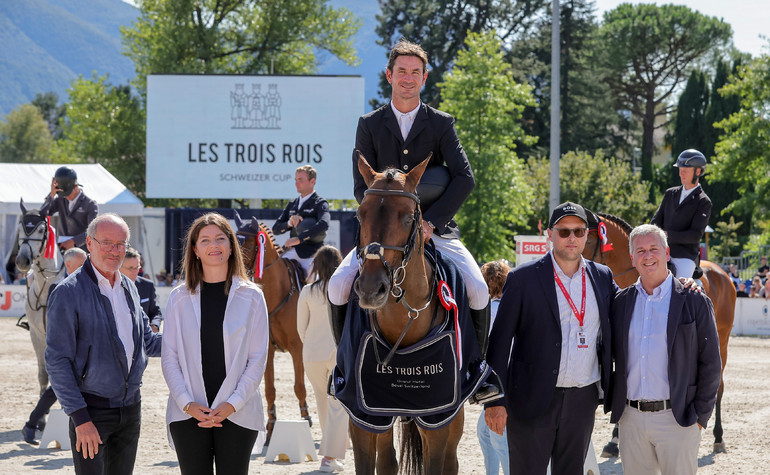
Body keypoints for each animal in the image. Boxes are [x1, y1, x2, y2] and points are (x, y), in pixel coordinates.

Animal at [231, 214, 312, 444]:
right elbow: (269, 389)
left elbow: (299, 386)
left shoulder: (297, 348)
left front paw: (306, 419)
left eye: (248, 244)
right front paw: (270, 427)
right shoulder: (266, 351)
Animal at [344, 153, 464, 475]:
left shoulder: (437, 418)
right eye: (360, 215)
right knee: (387, 460)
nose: (371, 289)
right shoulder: (362, 414)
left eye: (409, 218)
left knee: (451, 462)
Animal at [584, 212, 736, 454]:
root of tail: (724, 274)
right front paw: (615, 439)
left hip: (721, 341)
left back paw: (718, 437)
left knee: (718, 386)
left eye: (589, 241)